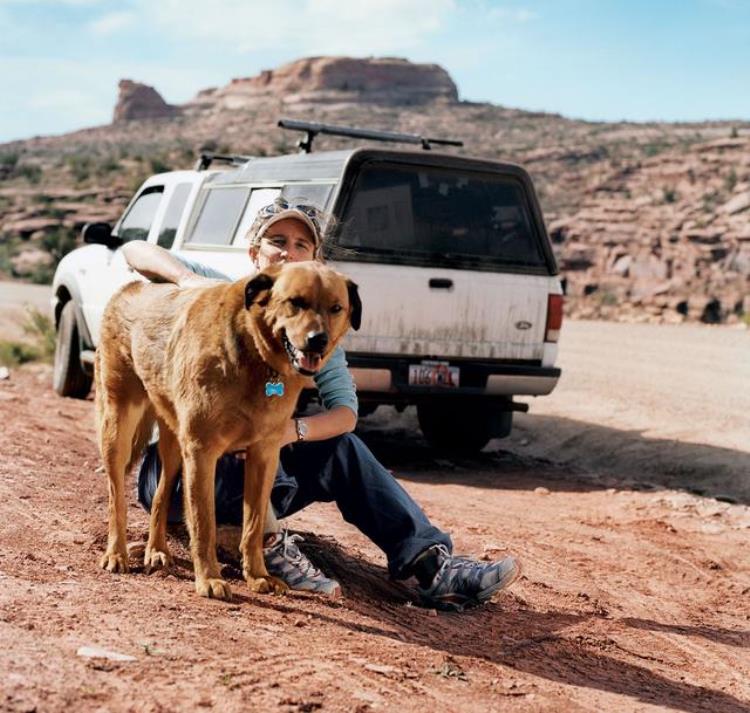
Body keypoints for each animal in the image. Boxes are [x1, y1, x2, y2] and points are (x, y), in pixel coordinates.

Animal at [96, 258, 362, 596]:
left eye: (336, 308)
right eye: (296, 302)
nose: (319, 340)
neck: (256, 356)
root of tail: (131, 287)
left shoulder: (263, 456)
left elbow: (253, 525)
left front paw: (258, 575)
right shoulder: (202, 453)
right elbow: (204, 524)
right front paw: (209, 578)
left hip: (174, 447)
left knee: (160, 495)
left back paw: (157, 550)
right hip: (118, 426)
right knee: (116, 496)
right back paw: (116, 553)